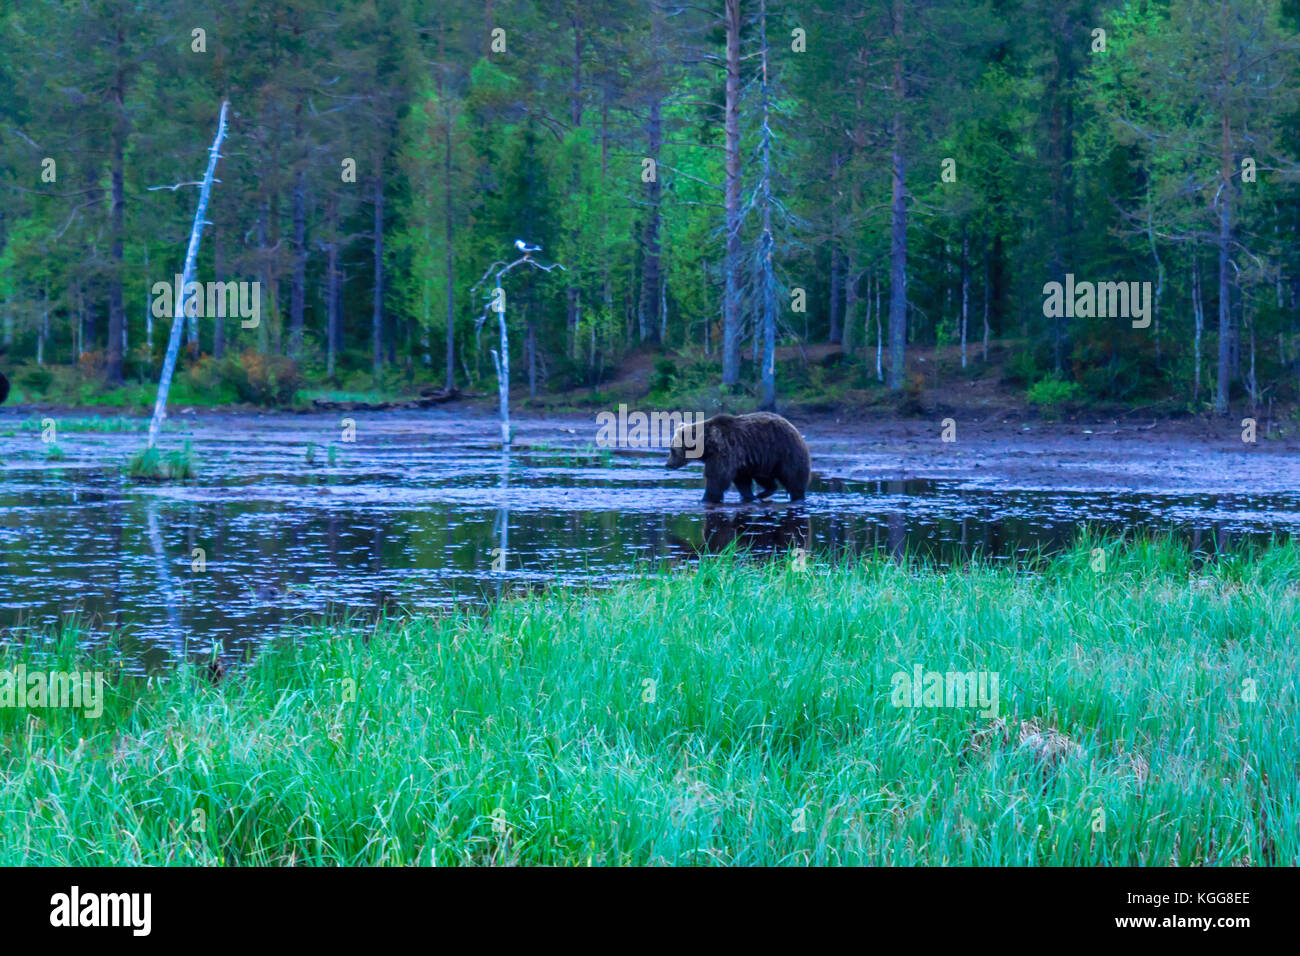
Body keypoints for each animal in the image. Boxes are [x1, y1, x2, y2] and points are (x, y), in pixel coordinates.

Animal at [665, 411, 806, 504]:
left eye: (672, 450)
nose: (668, 464)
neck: (707, 444)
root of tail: (794, 428)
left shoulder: (724, 450)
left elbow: (717, 476)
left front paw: (706, 498)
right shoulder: (740, 460)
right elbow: (741, 480)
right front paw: (748, 496)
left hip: (784, 451)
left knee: (793, 476)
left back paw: (797, 496)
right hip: (764, 460)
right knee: (764, 477)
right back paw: (763, 493)